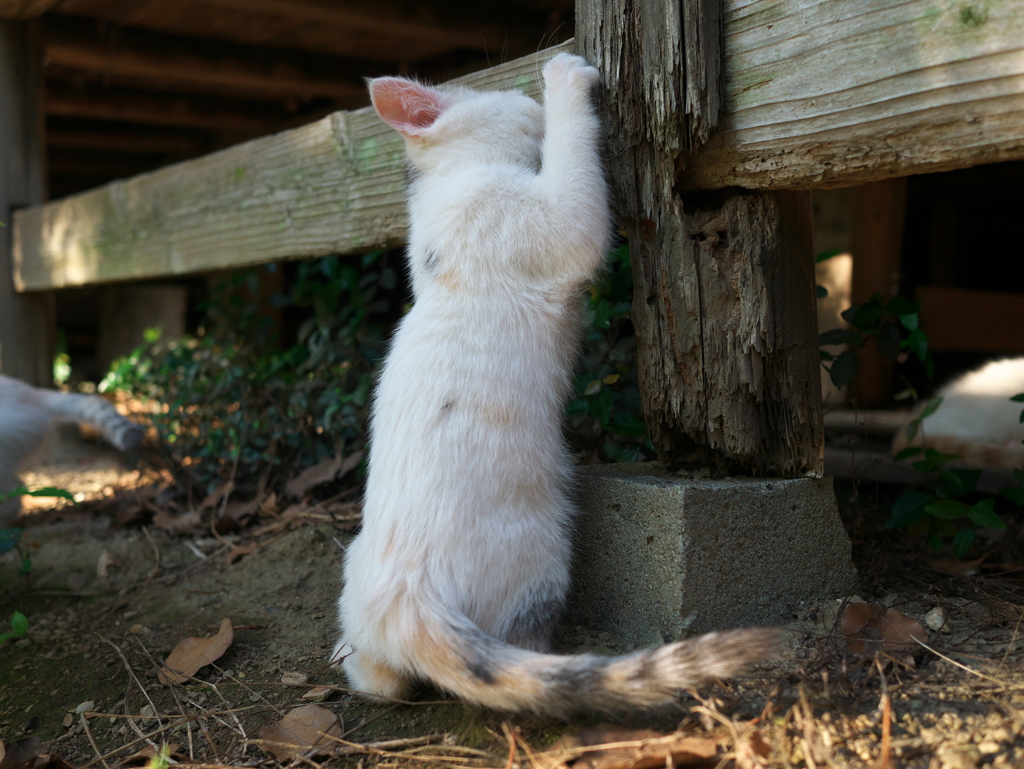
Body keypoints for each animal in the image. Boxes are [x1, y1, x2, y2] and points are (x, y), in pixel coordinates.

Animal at [333, 52, 774, 716]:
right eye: (511, 94)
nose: (528, 94)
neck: (452, 182)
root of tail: (409, 600)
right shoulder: (552, 222)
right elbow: (576, 193)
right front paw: (564, 80)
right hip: (541, 556)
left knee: (382, 680)